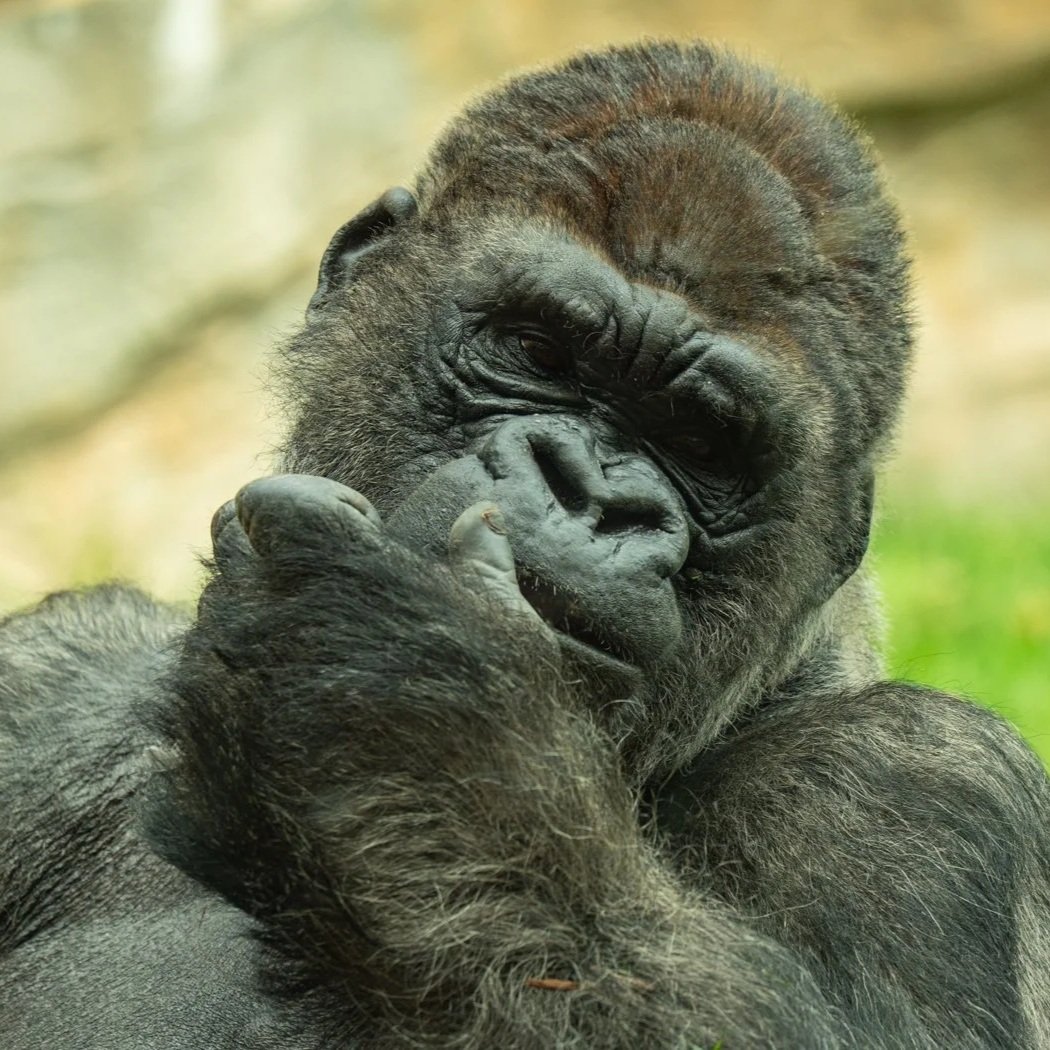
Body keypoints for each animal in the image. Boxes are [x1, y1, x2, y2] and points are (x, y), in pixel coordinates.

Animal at [1, 40, 1048, 1049]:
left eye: (702, 443)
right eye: (540, 354)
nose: (592, 495)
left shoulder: (920, 777)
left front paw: (396, 715)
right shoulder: (55, 672)